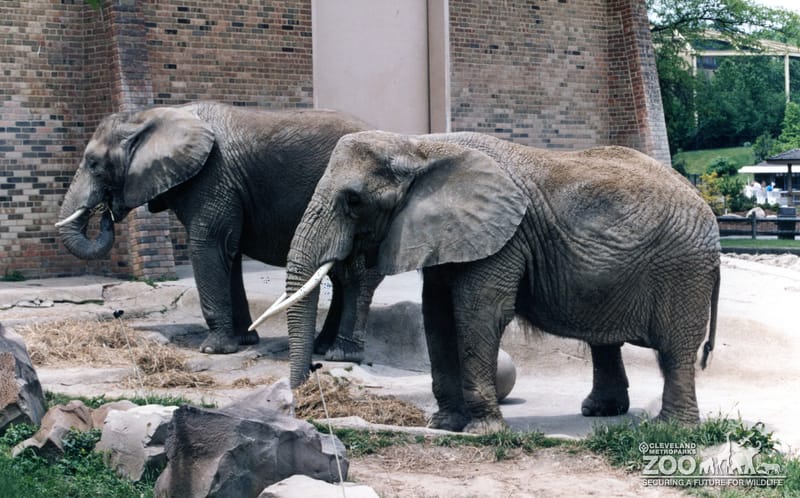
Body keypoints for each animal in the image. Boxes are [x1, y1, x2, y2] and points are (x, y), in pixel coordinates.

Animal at [56, 101, 383, 358]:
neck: (150, 116)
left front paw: (214, 350)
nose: (106, 211)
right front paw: (244, 341)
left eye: (94, 164)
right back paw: (322, 347)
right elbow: (230, 253)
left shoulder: (213, 178)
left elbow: (208, 247)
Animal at [252, 130, 721, 434]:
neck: (420, 146)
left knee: (675, 349)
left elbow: (478, 313)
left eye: (353, 201)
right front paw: (444, 425)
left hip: (684, 270)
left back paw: (671, 430)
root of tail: (707, 208)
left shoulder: (503, 239)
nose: (310, 388)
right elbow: (437, 315)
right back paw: (600, 413)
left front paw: (483, 432)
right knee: (605, 341)